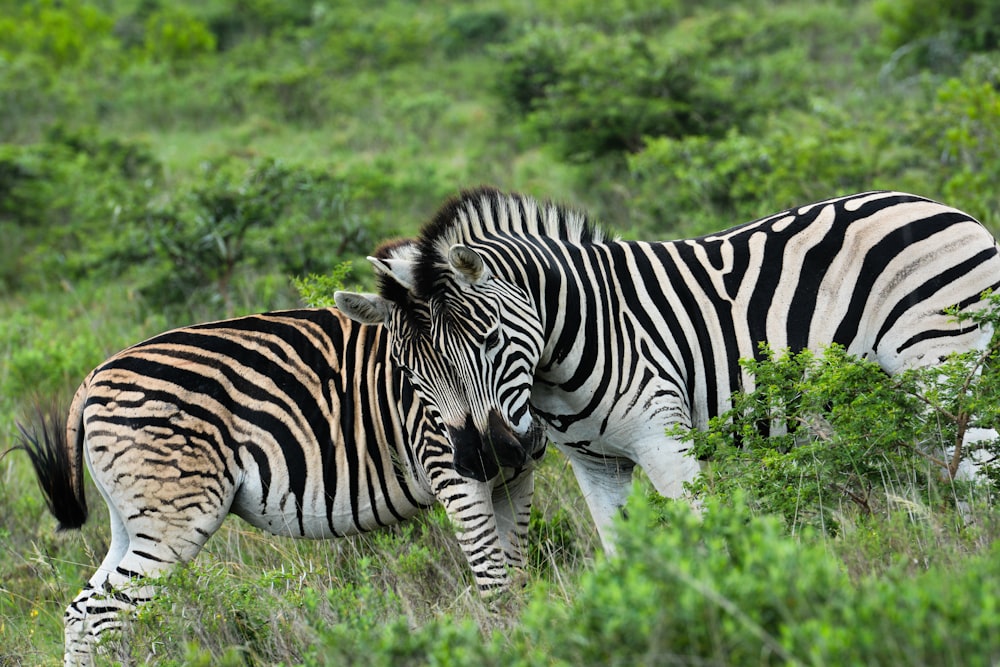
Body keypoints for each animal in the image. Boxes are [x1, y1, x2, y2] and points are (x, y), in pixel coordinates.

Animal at [13, 306, 548, 664]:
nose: (515, 443)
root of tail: (95, 376)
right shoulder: (451, 467)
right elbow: (495, 579)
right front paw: (510, 642)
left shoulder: (514, 482)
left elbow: (516, 574)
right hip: (174, 521)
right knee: (104, 613)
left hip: (133, 520)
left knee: (80, 611)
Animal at [336, 187, 1000, 548]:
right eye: (409, 371)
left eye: (491, 339)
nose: (486, 460)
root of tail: (947, 208)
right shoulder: (595, 466)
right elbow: (621, 550)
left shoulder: (665, 439)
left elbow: (704, 533)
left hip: (944, 360)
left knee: (975, 469)